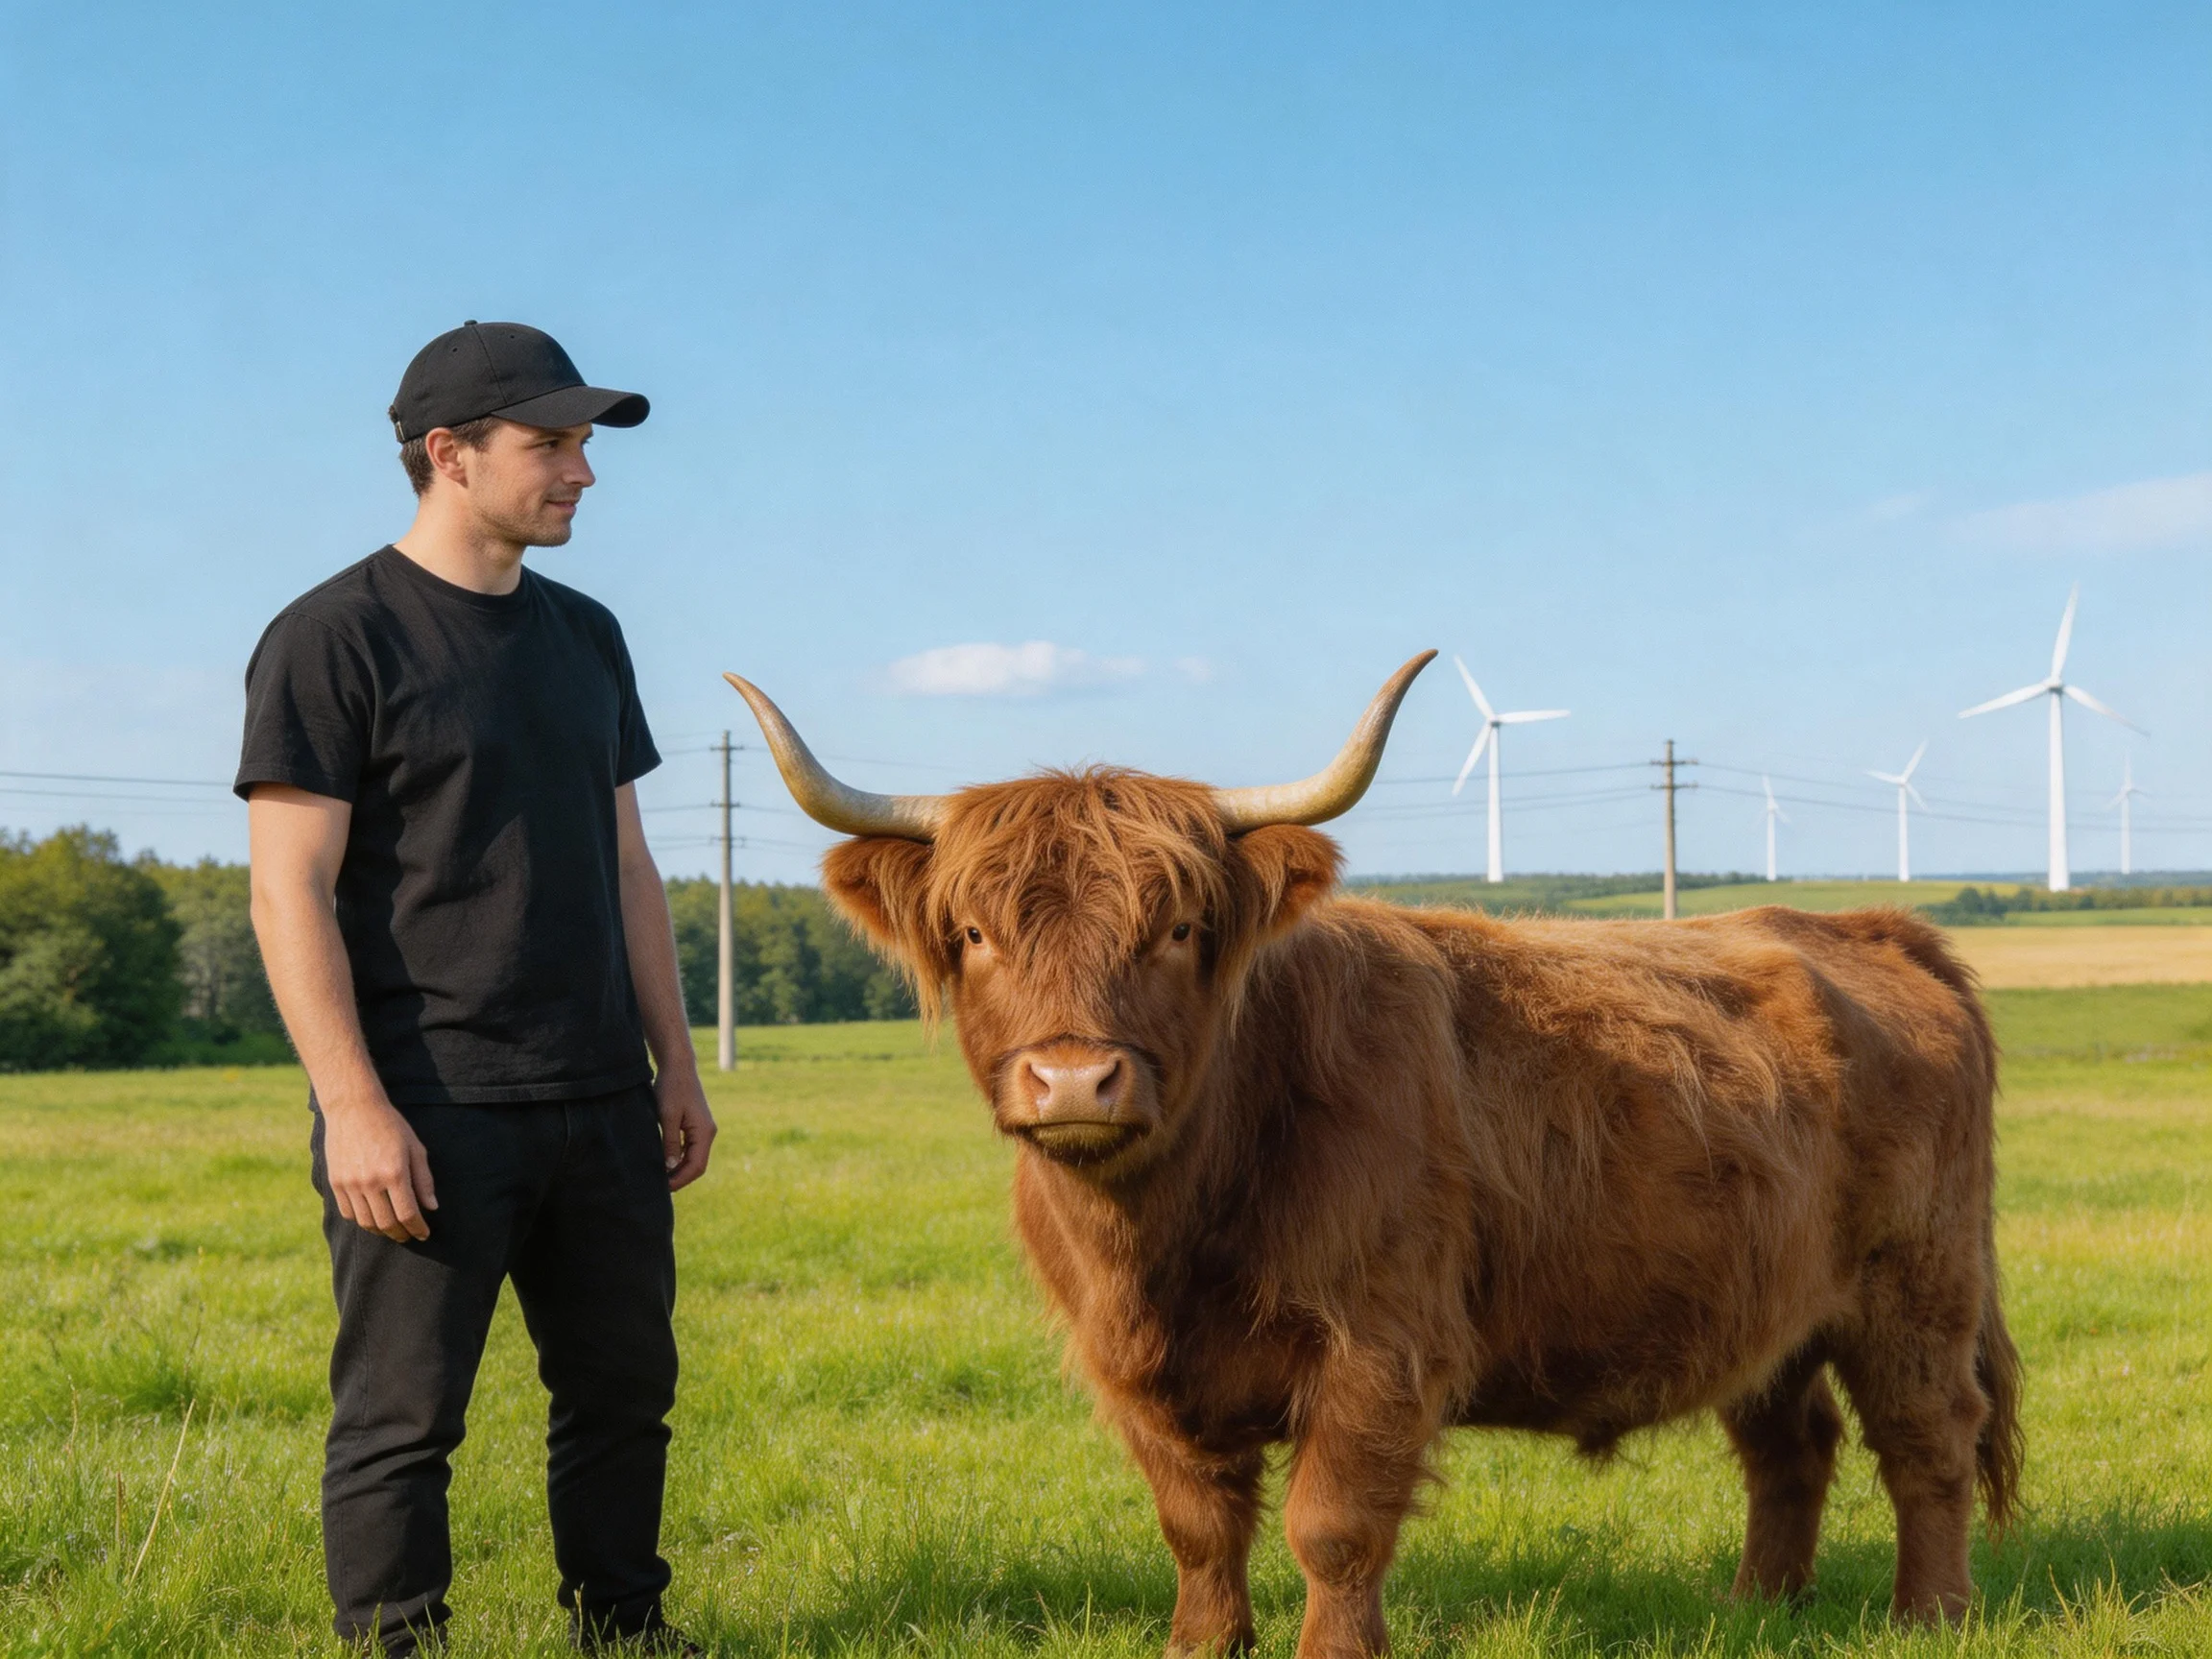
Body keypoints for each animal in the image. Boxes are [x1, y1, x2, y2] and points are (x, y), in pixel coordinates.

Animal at [724, 651, 2022, 1659]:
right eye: (975, 933)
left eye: (1180, 927)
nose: (1076, 1080)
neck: (1167, 1232)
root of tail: (1870, 929)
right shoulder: (1131, 1367)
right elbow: (1198, 1524)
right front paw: (1202, 1643)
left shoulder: (1378, 1345)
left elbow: (1333, 1526)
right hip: (1769, 1300)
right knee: (1789, 1440)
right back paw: (1757, 1607)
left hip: (1914, 1283)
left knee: (1928, 1437)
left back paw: (1929, 1615)